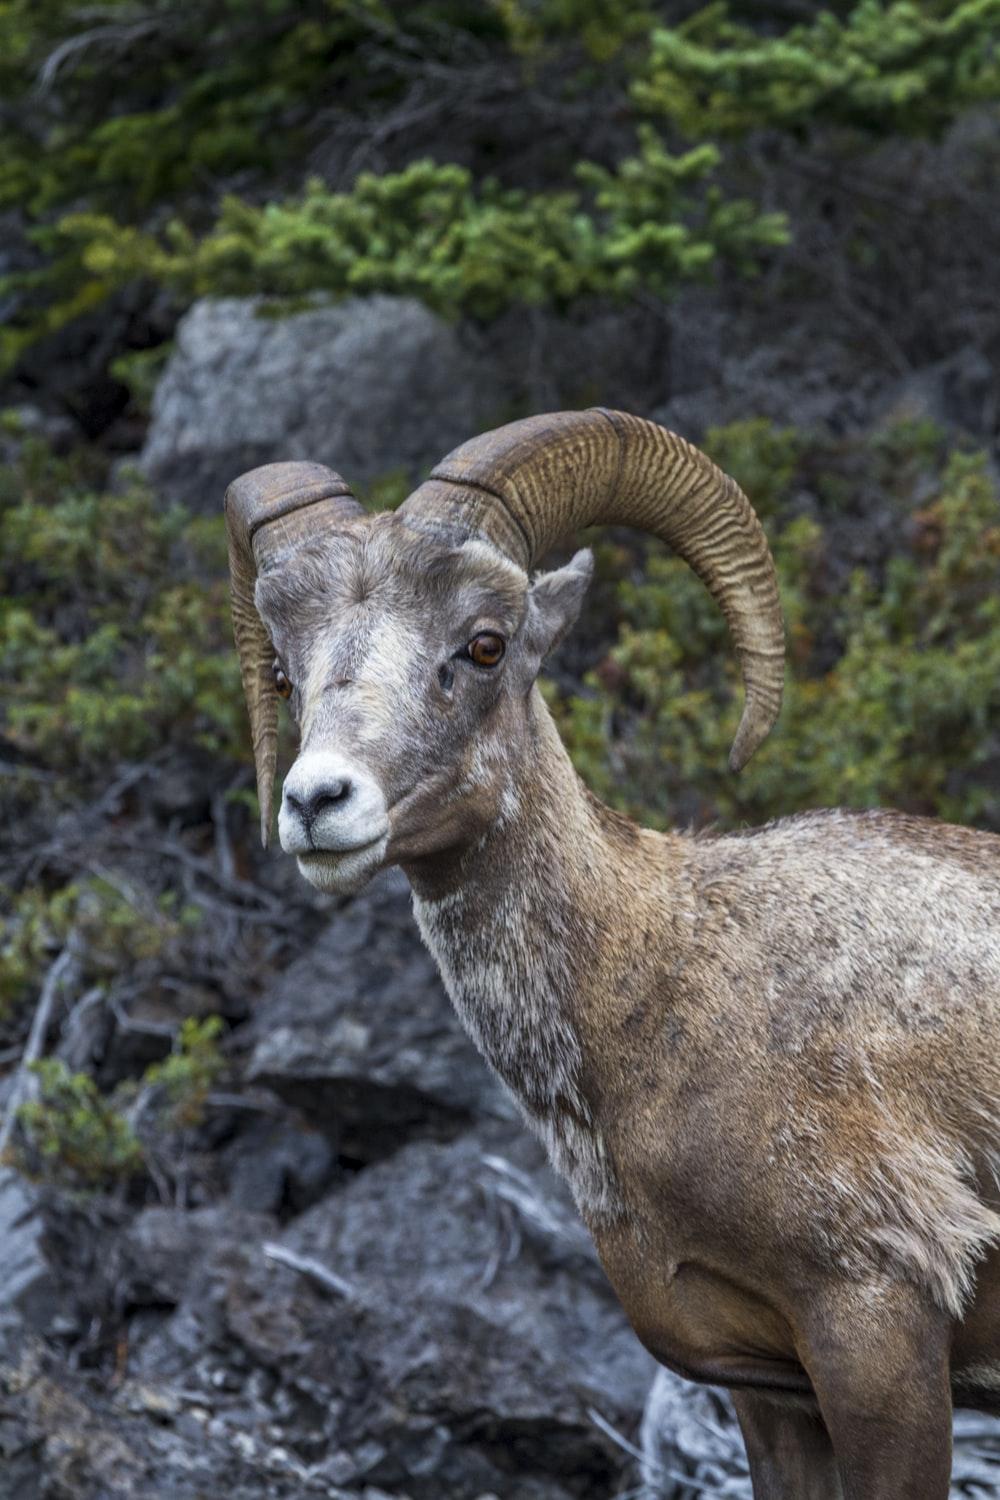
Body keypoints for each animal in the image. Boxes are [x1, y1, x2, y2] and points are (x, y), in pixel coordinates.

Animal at [224, 409, 1000, 1498]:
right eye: (287, 673)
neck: (660, 989)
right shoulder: (770, 1393)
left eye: (484, 644)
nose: (316, 802)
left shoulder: (878, 1338)